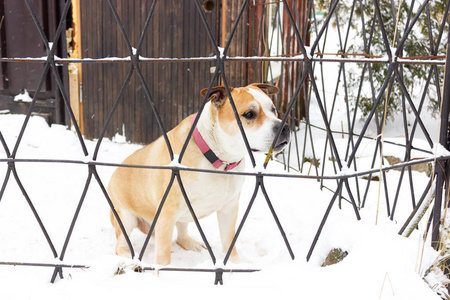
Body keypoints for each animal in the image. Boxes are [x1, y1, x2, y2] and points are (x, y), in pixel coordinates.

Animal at [107, 82, 290, 264]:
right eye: (250, 114)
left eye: (273, 109)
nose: (284, 127)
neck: (218, 157)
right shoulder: (166, 214)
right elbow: (163, 255)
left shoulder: (229, 209)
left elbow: (229, 243)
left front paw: (235, 265)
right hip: (126, 218)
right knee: (120, 245)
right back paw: (129, 257)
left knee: (181, 234)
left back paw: (190, 243)